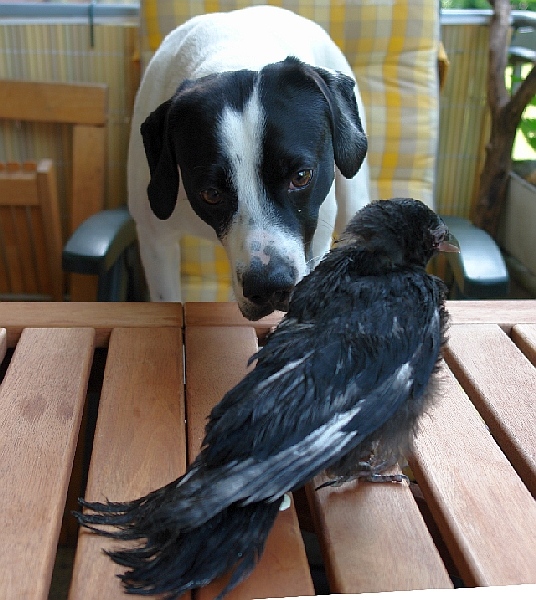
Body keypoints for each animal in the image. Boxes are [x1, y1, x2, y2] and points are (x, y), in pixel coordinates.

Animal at [129, 3, 368, 318]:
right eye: (211, 193)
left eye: (301, 176)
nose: (269, 286)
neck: (233, 51)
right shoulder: (155, 240)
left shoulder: (315, 239)